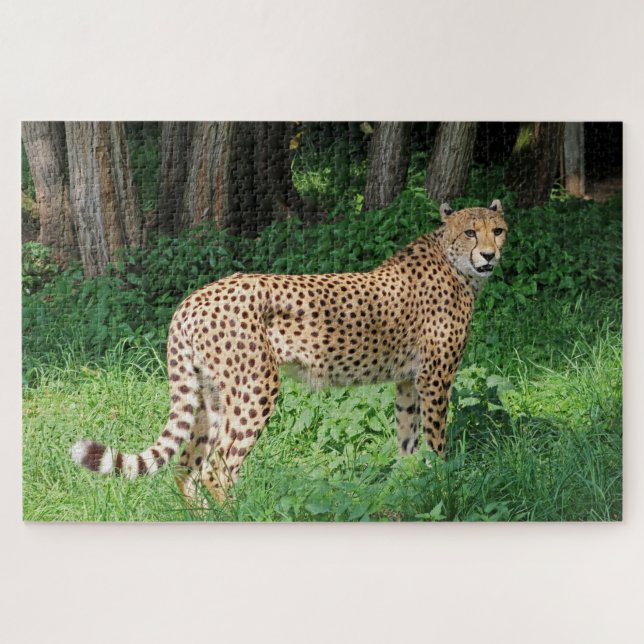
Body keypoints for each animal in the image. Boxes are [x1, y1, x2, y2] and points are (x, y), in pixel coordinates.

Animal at [71, 200, 508, 506]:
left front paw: (408, 485)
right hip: (256, 387)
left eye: (499, 231)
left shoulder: (406, 381)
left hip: (212, 395)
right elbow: (436, 442)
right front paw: (441, 483)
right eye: (471, 232)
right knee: (218, 467)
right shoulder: (435, 378)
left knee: (186, 466)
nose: (490, 255)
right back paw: (239, 514)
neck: (455, 264)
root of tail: (194, 297)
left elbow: (408, 440)